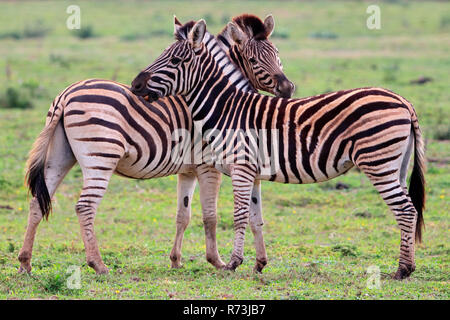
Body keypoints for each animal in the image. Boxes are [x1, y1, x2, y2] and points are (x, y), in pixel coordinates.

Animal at [17, 15, 294, 276]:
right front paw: (217, 261)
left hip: (60, 156)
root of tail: (65, 95)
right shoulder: (208, 165)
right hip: (100, 156)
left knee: (37, 202)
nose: (288, 88)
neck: (217, 101)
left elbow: (183, 216)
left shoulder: (188, 169)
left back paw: (25, 263)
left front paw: (176, 261)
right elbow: (210, 216)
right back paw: (98, 265)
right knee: (85, 206)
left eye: (277, 53)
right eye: (254, 60)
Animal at [131, 20, 426, 280]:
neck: (227, 109)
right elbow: (255, 218)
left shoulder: (241, 167)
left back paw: (403, 270)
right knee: (408, 210)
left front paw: (233, 263)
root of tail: (403, 101)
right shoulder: (252, 172)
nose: (135, 85)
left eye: (174, 61)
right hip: (396, 165)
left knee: (406, 211)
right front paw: (258, 265)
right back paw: (407, 267)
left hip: (378, 162)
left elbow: (239, 216)